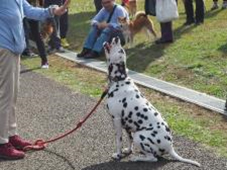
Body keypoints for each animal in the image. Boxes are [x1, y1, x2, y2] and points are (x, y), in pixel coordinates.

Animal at [103, 36, 200, 167]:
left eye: (120, 50)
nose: (117, 38)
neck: (119, 80)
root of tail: (170, 147)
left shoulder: (117, 120)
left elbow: (119, 141)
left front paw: (118, 155)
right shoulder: (126, 125)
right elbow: (129, 140)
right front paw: (128, 151)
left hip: (139, 136)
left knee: (153, 158)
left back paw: (137, 158)